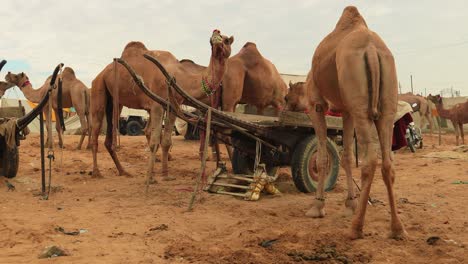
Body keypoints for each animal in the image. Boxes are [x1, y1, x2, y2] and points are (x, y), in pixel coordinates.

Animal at [88, 29, 233, 180]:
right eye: (210, 41)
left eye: (227, 40)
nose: (216, 34)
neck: (180, 76)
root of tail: (101, 74)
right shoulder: (156, 104)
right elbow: (154, 140)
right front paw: (150, 177)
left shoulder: (173, 106)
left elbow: (166, 141)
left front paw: (166, 174)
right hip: (98, 88)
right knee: (95, 133)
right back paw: (97, 172)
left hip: (114, 101)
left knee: (109, 136)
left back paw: (123, 171)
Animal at [286, 6, 406, 238]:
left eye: (287, 98)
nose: (282, 106)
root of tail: (371, 48)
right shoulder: (347, 110)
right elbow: (348, 156)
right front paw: (350, 204)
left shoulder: (316, 105)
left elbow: (322, 157)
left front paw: (317, 206)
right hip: (386, 102)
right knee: (388, 162)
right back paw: (397, 229)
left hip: (360, 103)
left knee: (370, 161)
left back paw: (356, 228)